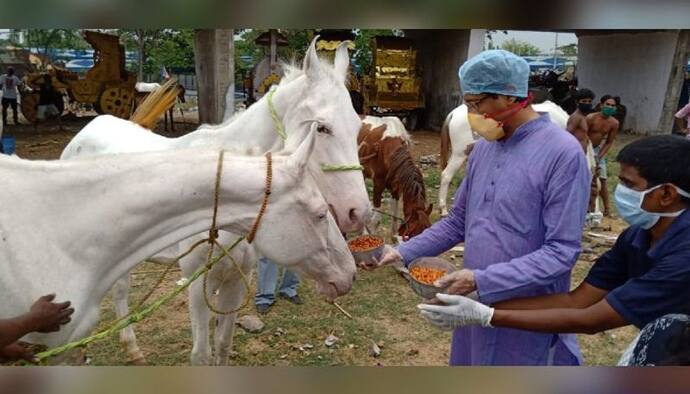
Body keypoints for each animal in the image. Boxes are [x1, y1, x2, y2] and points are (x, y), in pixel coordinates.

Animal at [61, 38, 368, 364]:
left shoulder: (236, 280)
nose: (358, 212)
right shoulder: (197, 284)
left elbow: (223, 344)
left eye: (357, 127)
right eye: (321, 127)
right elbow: (201, 353)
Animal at [440, 98, 596, 215]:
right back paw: (443, 209)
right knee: (446, 176)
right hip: (460, 153)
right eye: (592, 193)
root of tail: (453, 113)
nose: (590, 212)